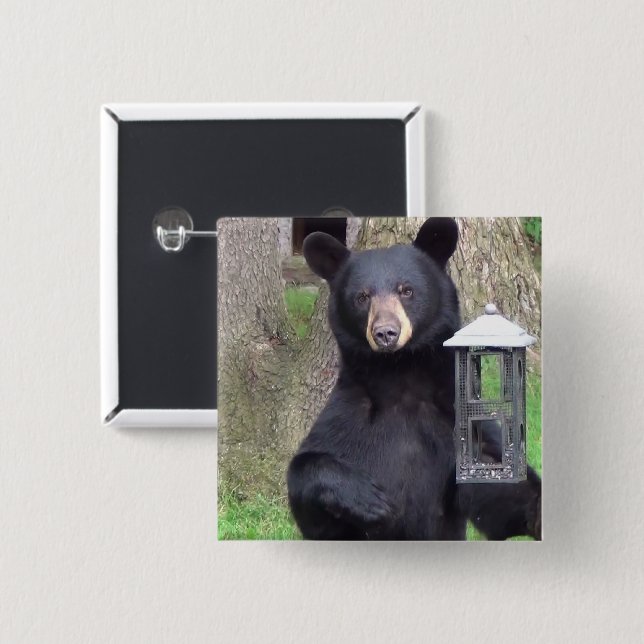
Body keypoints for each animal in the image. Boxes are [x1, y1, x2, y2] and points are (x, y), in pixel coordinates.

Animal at [287, 217, 541, 540]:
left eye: (406, 290)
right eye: (362, 296)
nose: (385, 333)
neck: (401, 374)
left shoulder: (455, 417)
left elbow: (496, 489)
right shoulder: (348, 415)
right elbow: (308, 486)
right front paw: (370, 500)